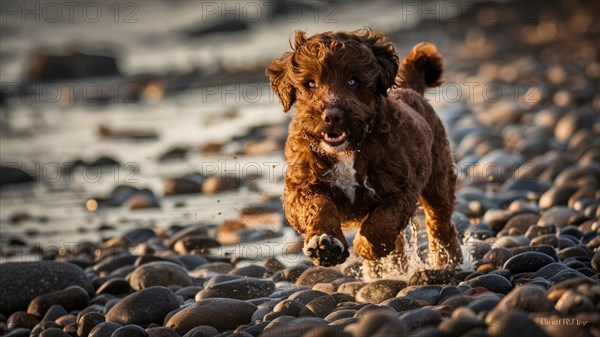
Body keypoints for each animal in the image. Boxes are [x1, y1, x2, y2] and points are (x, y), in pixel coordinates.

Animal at [268, 29, 464, 270]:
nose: (331, 116)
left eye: (353, 81)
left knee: (440, 220)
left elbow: (383, 222)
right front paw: (325, 243)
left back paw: (446, 261)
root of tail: (410, 89)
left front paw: (365, 245)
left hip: (439, 175)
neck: (348, 149)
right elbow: (318, 206)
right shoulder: (302, 185)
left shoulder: (401, 186)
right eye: (311, 84)